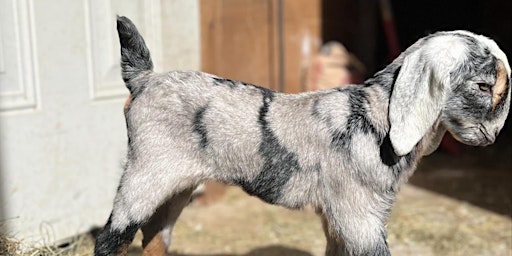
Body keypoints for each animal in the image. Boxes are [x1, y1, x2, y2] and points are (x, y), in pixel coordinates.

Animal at [94, 16, 510, 256]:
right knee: (110, 238)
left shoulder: (338, 217)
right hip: (145, 175)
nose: (492, 136)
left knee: (154, 239)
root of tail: (144, 80)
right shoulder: (360, 215)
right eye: (482, 85)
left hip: (176, 187)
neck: (378, 117)